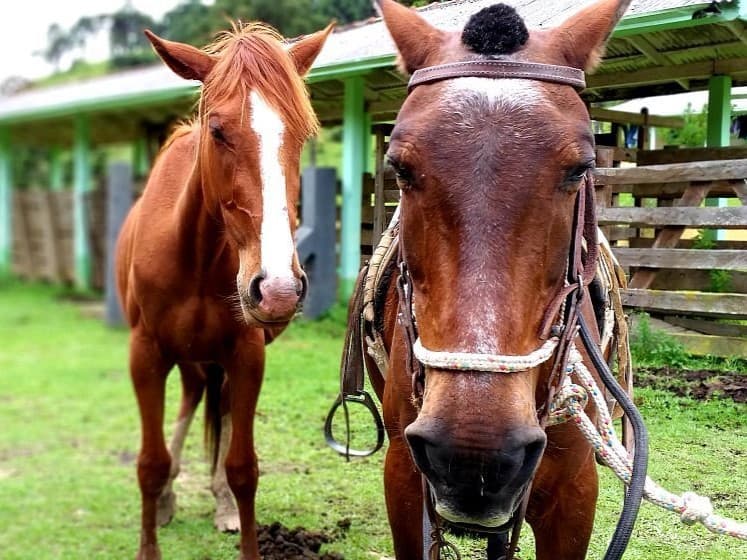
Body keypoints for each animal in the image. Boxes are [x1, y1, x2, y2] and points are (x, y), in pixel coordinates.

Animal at [116, 21, 334, 560]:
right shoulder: (145, 354)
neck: (194, 254)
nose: (277, 290)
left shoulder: (246, 354)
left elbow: (243, 467)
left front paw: (235, 508)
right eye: (216, 130)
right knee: (192, 403)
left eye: (301, 134)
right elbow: (149, 463)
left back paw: (221, 504)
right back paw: (171, 497)